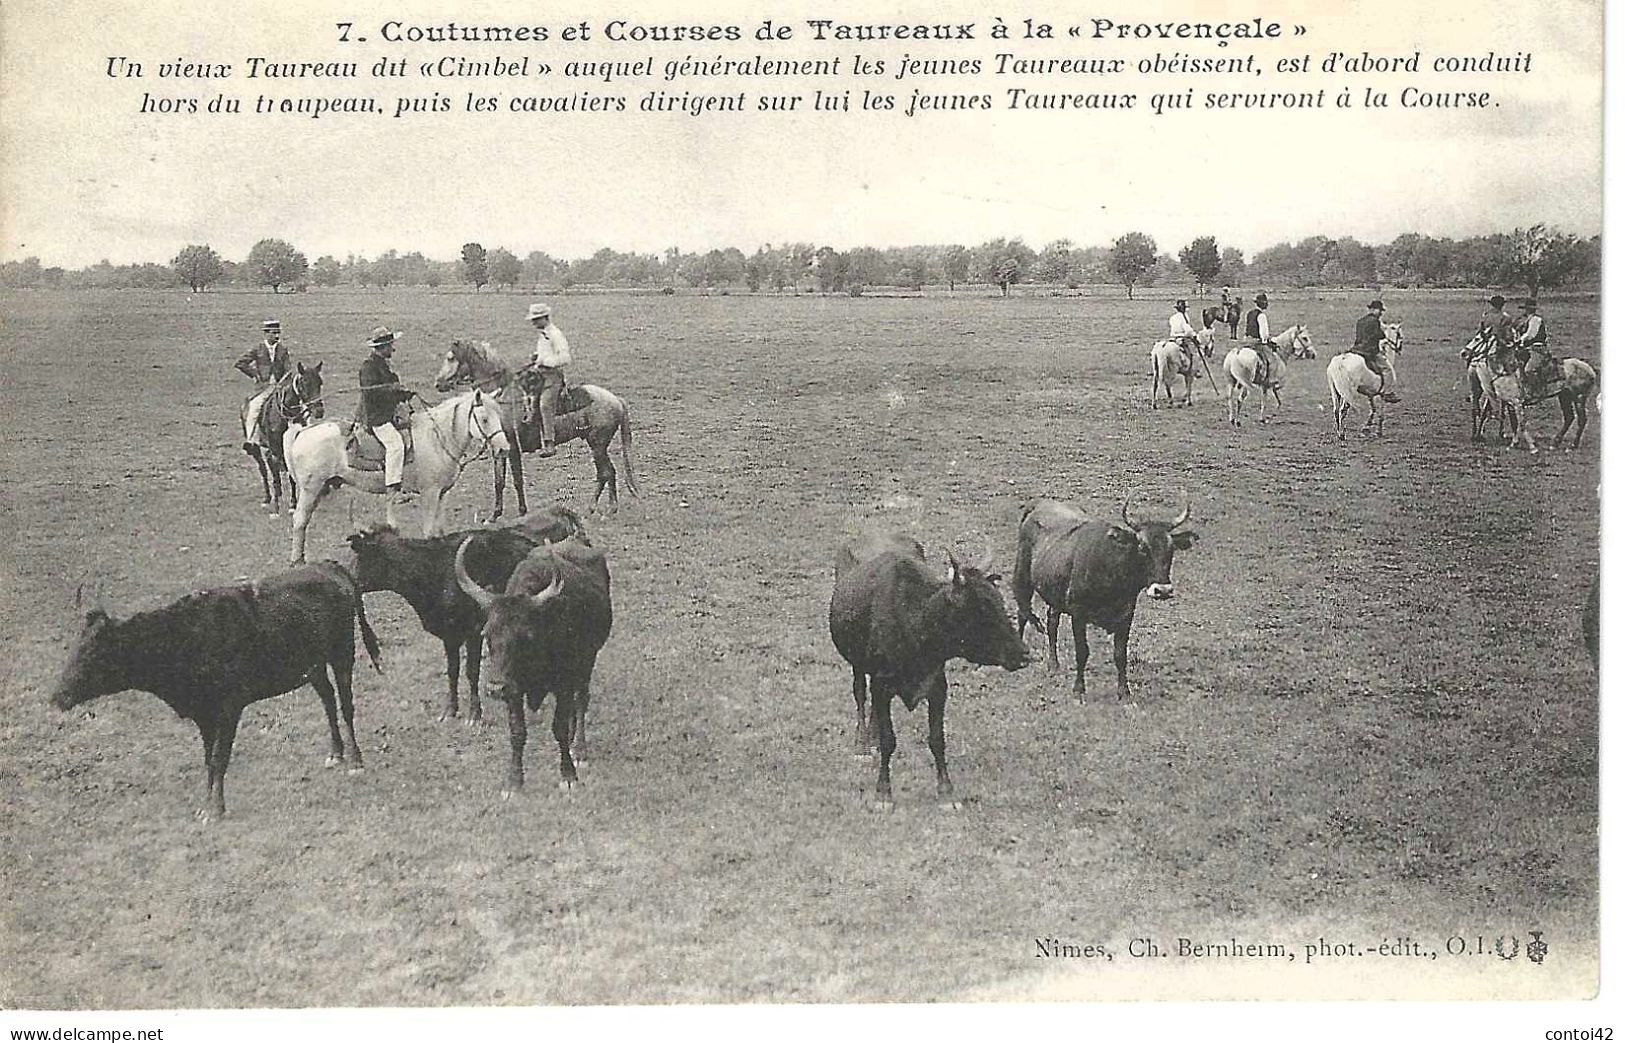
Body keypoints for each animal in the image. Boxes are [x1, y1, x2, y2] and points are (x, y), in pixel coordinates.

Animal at [49, 565, 380, 815]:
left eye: (93, 653)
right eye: (74, 648)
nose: (58, 697)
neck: (185, 636)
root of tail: (328, 567)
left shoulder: (230, 707)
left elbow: (220, 757)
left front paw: (216, 809)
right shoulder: (204, 714)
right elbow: (209, 759)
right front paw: (206, 803)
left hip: (342, 652)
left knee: (346, 704)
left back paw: (355, 760)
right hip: (313, 665)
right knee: (327, 700)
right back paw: (335, 754)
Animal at [282, 388, 503, 558]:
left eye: (499, 417)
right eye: (484, 419)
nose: (503, 448)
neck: (437, 438)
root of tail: (303, 432)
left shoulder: (443, 494)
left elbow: (440, 530)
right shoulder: (430, 493)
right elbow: (429, 530)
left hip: (321, 488)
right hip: (311, 489)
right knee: (299, 521)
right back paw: (297, 561)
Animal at [455, 532, 611, 792]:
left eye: (525, 636)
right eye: (487, 634)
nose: (495, 688)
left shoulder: (564, 683)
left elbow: (559, 727)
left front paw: (568, 775)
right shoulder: (514, 690)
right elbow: (517, 731)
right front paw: (513, 782)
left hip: (587, 663)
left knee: (581, 701)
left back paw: (579, 750)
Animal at [832, 526, 1020, 805]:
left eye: (999, 601)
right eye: (981, 609)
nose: (1022, 652)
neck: (915, 623)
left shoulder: (938, 686)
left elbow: (936, 739)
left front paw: (946, 790)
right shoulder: (881, 683)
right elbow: (889, 740)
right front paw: (883, 792)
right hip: (858, 665)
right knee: (860, 695)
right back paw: (863, 744)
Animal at [1007, 493, 1202, 698]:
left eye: (1171, 548)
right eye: (1142, 547)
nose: (1162, 590)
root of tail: (1040, 503)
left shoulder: (1126, 615)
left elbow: (1120, 654)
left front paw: (1124, 690)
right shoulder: (1078, 613)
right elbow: (1082, 651)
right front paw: (1079, 688)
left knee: (1052, 624)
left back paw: (1054, 664)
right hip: (1022, 577)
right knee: (1022, 612)